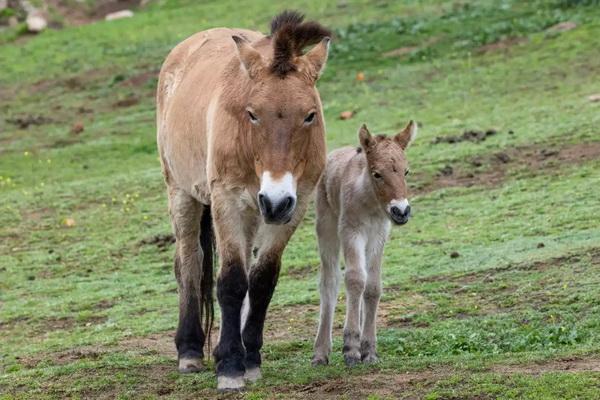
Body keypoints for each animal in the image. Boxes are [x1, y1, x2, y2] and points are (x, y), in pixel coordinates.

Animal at [157, 10, 330, 390]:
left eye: (310, 114)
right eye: (252, 113)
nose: (275, 201)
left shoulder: (295, 205)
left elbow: (262, 281)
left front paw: (250, 358)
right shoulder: (228, 201)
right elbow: (232, 282)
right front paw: (230, 367)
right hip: (182, 194)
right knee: (189, 263)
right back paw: (189, 350)